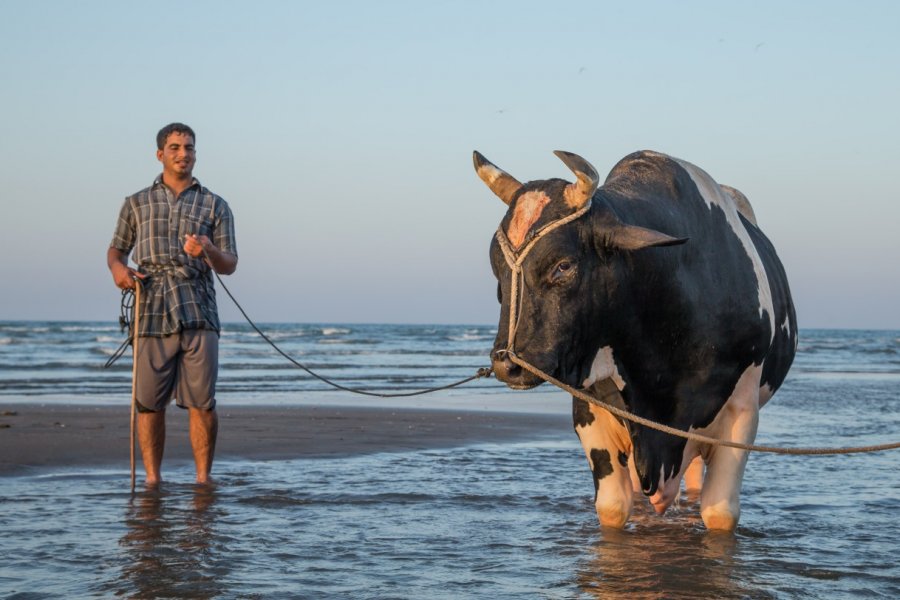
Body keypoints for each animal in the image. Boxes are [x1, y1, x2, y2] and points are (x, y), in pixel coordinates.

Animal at [474, 150, 800, 528]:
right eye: (496, 268)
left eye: (563, 266)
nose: (506, 364)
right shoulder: (591, 408)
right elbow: (613, 506)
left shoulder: (741, 415)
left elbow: (719, 512)